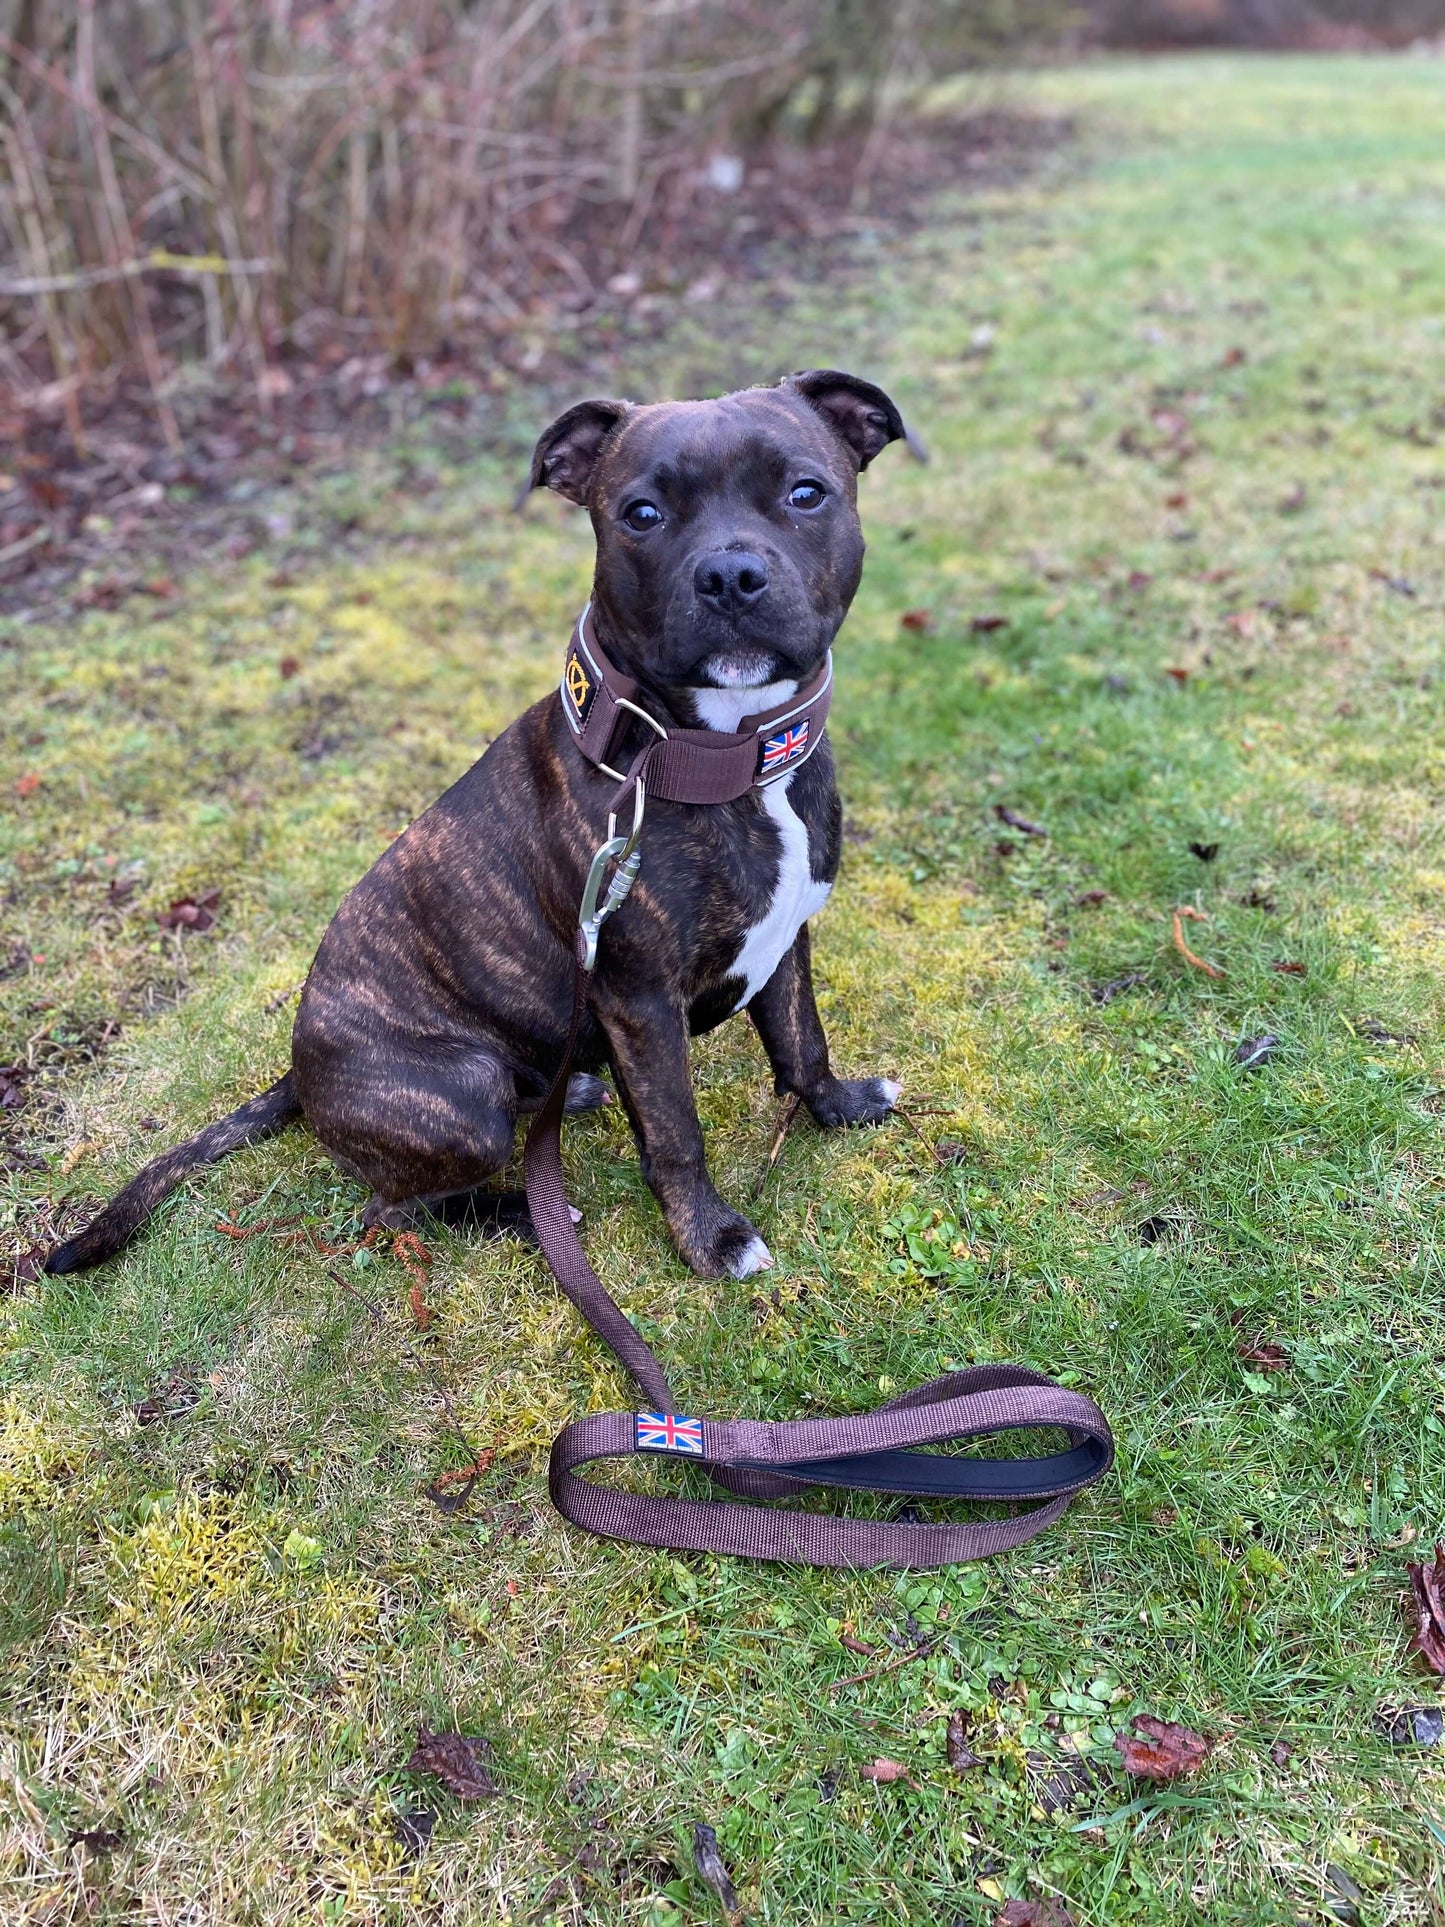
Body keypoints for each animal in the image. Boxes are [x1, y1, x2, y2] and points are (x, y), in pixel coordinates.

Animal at [48, 371, 905, 1279]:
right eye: (640, 513)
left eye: (805, 493)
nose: (730, 574)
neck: (710, 753)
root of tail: (298, 1073)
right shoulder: (640, 1001)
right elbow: (675, 1131)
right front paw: (708, 1236)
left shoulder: (785, 938)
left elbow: (801, 1040)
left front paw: (842, 1104)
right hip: (462, 1099)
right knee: (393, 1207)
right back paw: (524, 1212)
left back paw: (572, 1091)